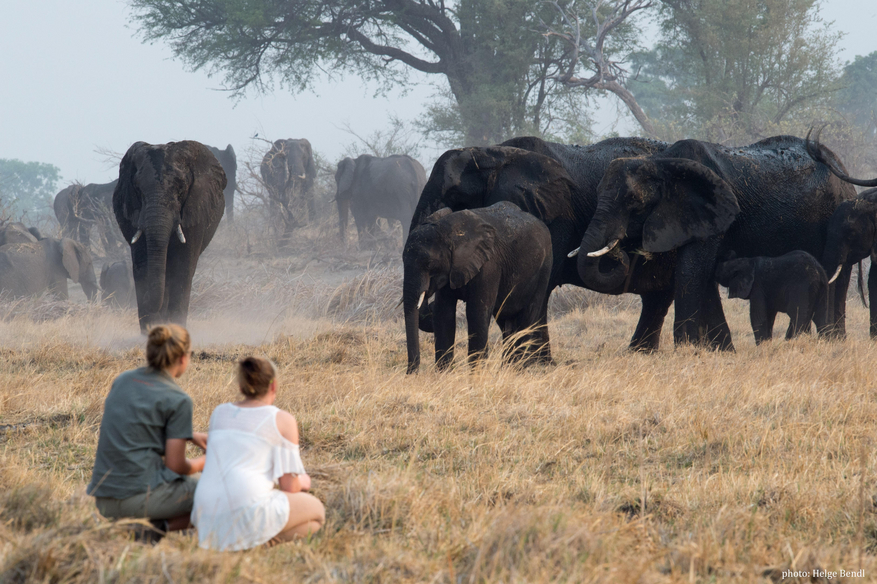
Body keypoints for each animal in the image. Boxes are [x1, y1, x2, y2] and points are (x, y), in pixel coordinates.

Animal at [111, 140, 226, 334]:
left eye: (181, 188)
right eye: (138, 189)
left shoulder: (196, 208)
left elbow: (182, 264)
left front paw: (176, 328)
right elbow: (143, 263)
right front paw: (150, 330)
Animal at [402, 203, 552, 372]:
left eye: (429, 264)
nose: (411, 373)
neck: (451, 231)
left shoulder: (489, 265)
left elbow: (476, 312)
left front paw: (476, 374)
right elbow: (443, 312)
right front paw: (444, 373)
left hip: (544, 267)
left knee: (528, 316)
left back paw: (519, 369)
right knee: (505, 321)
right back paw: (507, 368)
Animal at [568, 134, 856, 350]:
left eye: (633, 202)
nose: (619, 251)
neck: (660, 162)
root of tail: (839, 163)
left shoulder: (712, 212)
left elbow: (691, 271)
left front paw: (685, 349)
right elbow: (702, 275)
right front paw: (720, 350)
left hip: (838, 215)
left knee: (837, 277)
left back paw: (833, 342)